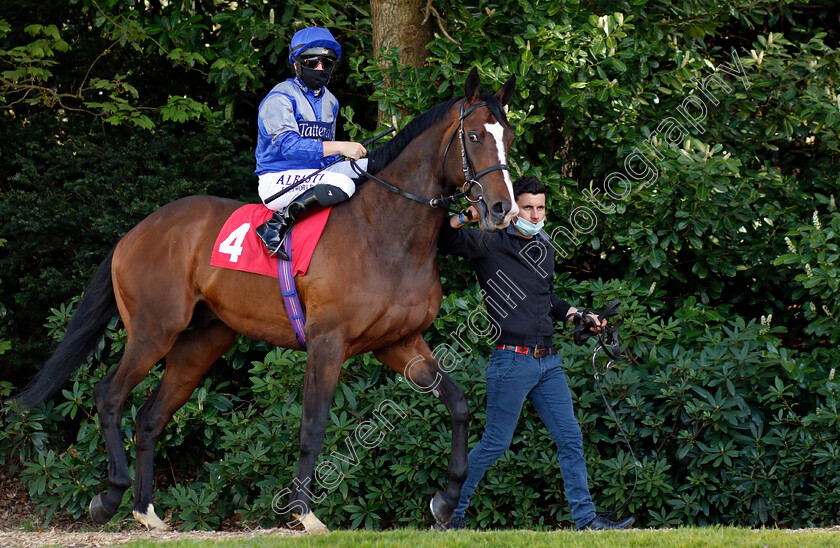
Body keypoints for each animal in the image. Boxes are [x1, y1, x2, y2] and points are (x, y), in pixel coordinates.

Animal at [16, 66, 520, 532]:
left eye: (509, 138)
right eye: (474, 136)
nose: (502, 209)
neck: (385, 232)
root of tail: (137, 231)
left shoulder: (399, 342)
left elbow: (458, 403)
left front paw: (446, 500)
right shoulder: (328, 343)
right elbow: (313, 425)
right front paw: (304, 512)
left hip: (200, 344)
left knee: (149, 418)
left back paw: (146, 511)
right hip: (153, 332)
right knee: (109, 395)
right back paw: (109, 499)